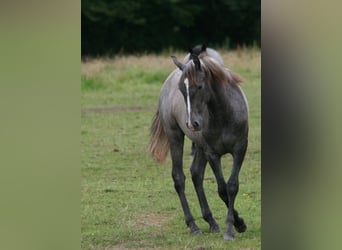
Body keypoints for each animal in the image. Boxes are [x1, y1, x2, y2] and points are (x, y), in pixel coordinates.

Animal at [149, 47, 248, 240]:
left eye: (200, 86)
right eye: (181, 89)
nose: (192, 124)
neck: (224, 114)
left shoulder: (240, 149)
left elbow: (232, 186)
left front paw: (237, 224)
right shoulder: (212, 154)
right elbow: (222, 188)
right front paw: (233, 225)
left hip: (200, 147)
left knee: (196, 174)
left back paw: (211, 222)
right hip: (176, 137)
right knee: (179, 178)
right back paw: (193, 225)